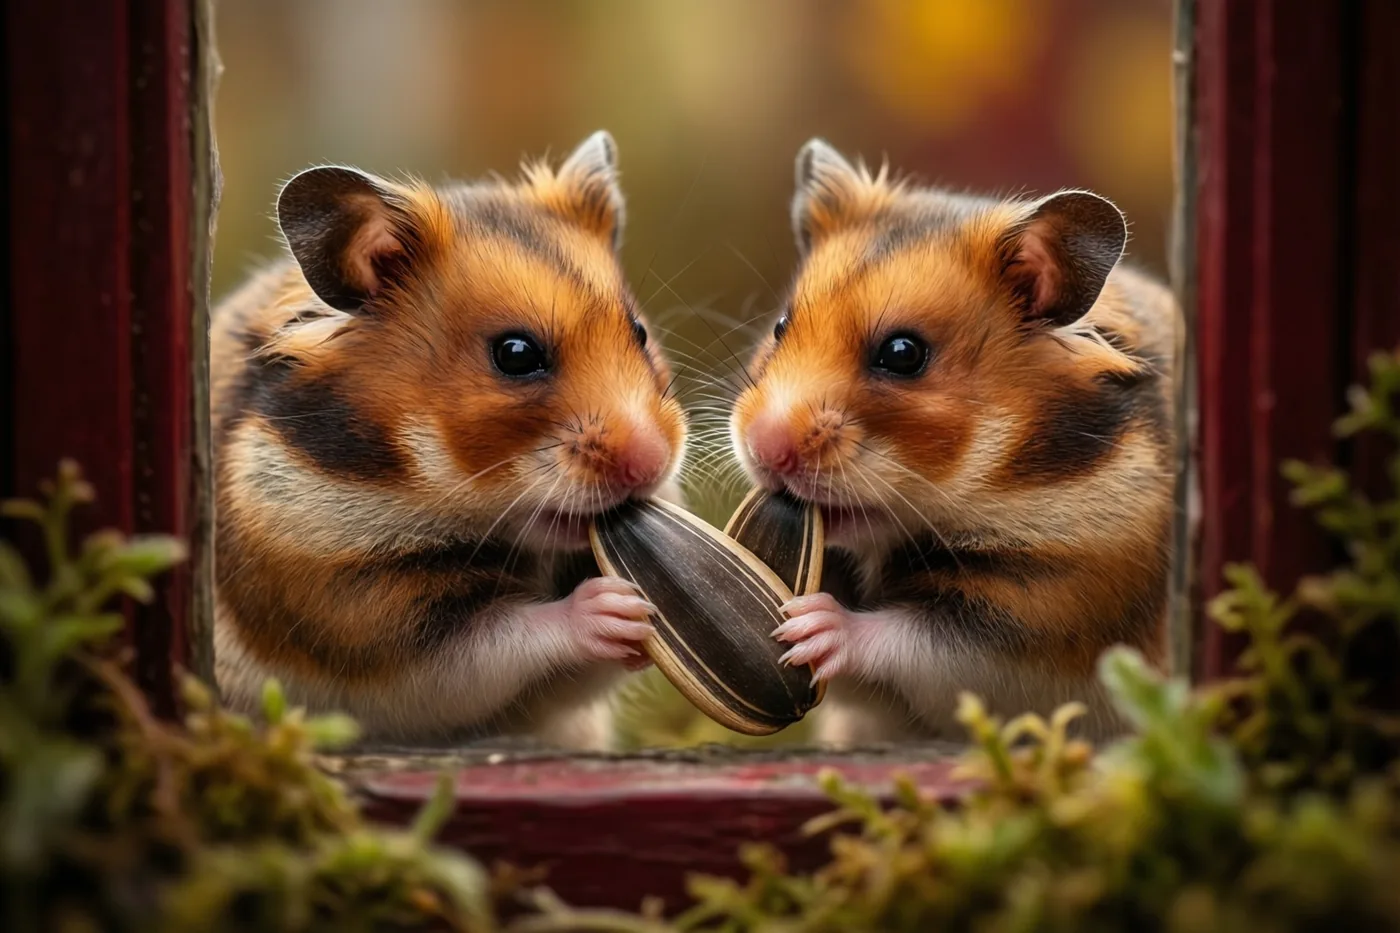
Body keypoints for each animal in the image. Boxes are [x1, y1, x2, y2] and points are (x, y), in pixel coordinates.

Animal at [211, 132, 687, 749]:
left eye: (639, 332)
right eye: (515, 354)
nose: (654, 462)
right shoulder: (365, 621)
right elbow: (496, 643)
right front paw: (614, 607)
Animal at [729, 139, 1176, 744]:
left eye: (903, 354)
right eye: (780, 327)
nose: (763, 448)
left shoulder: (1042, 616)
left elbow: (914, 641)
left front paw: (807, 626)